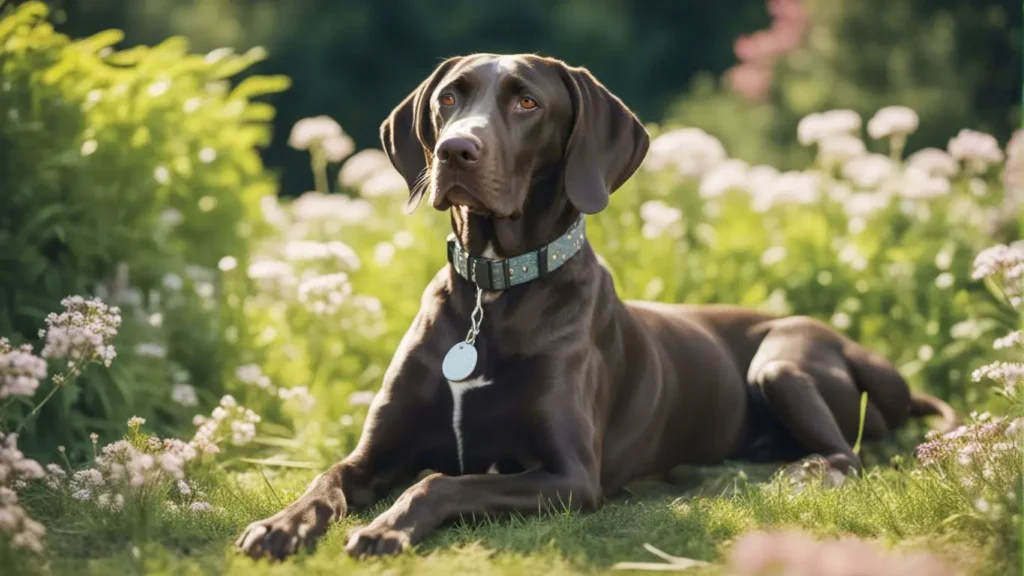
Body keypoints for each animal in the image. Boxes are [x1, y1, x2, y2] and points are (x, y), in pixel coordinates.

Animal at [235, 52, 954, 557]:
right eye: (449, 98)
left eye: (527, 101)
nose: (455, 150)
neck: (493, 292)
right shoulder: (371, 457)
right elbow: (325, 480)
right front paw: (279, 524)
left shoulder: (572, 476)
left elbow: (440, 480)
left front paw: (386, 528)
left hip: (782, 362)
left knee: (847, 457)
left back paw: (797, 472)